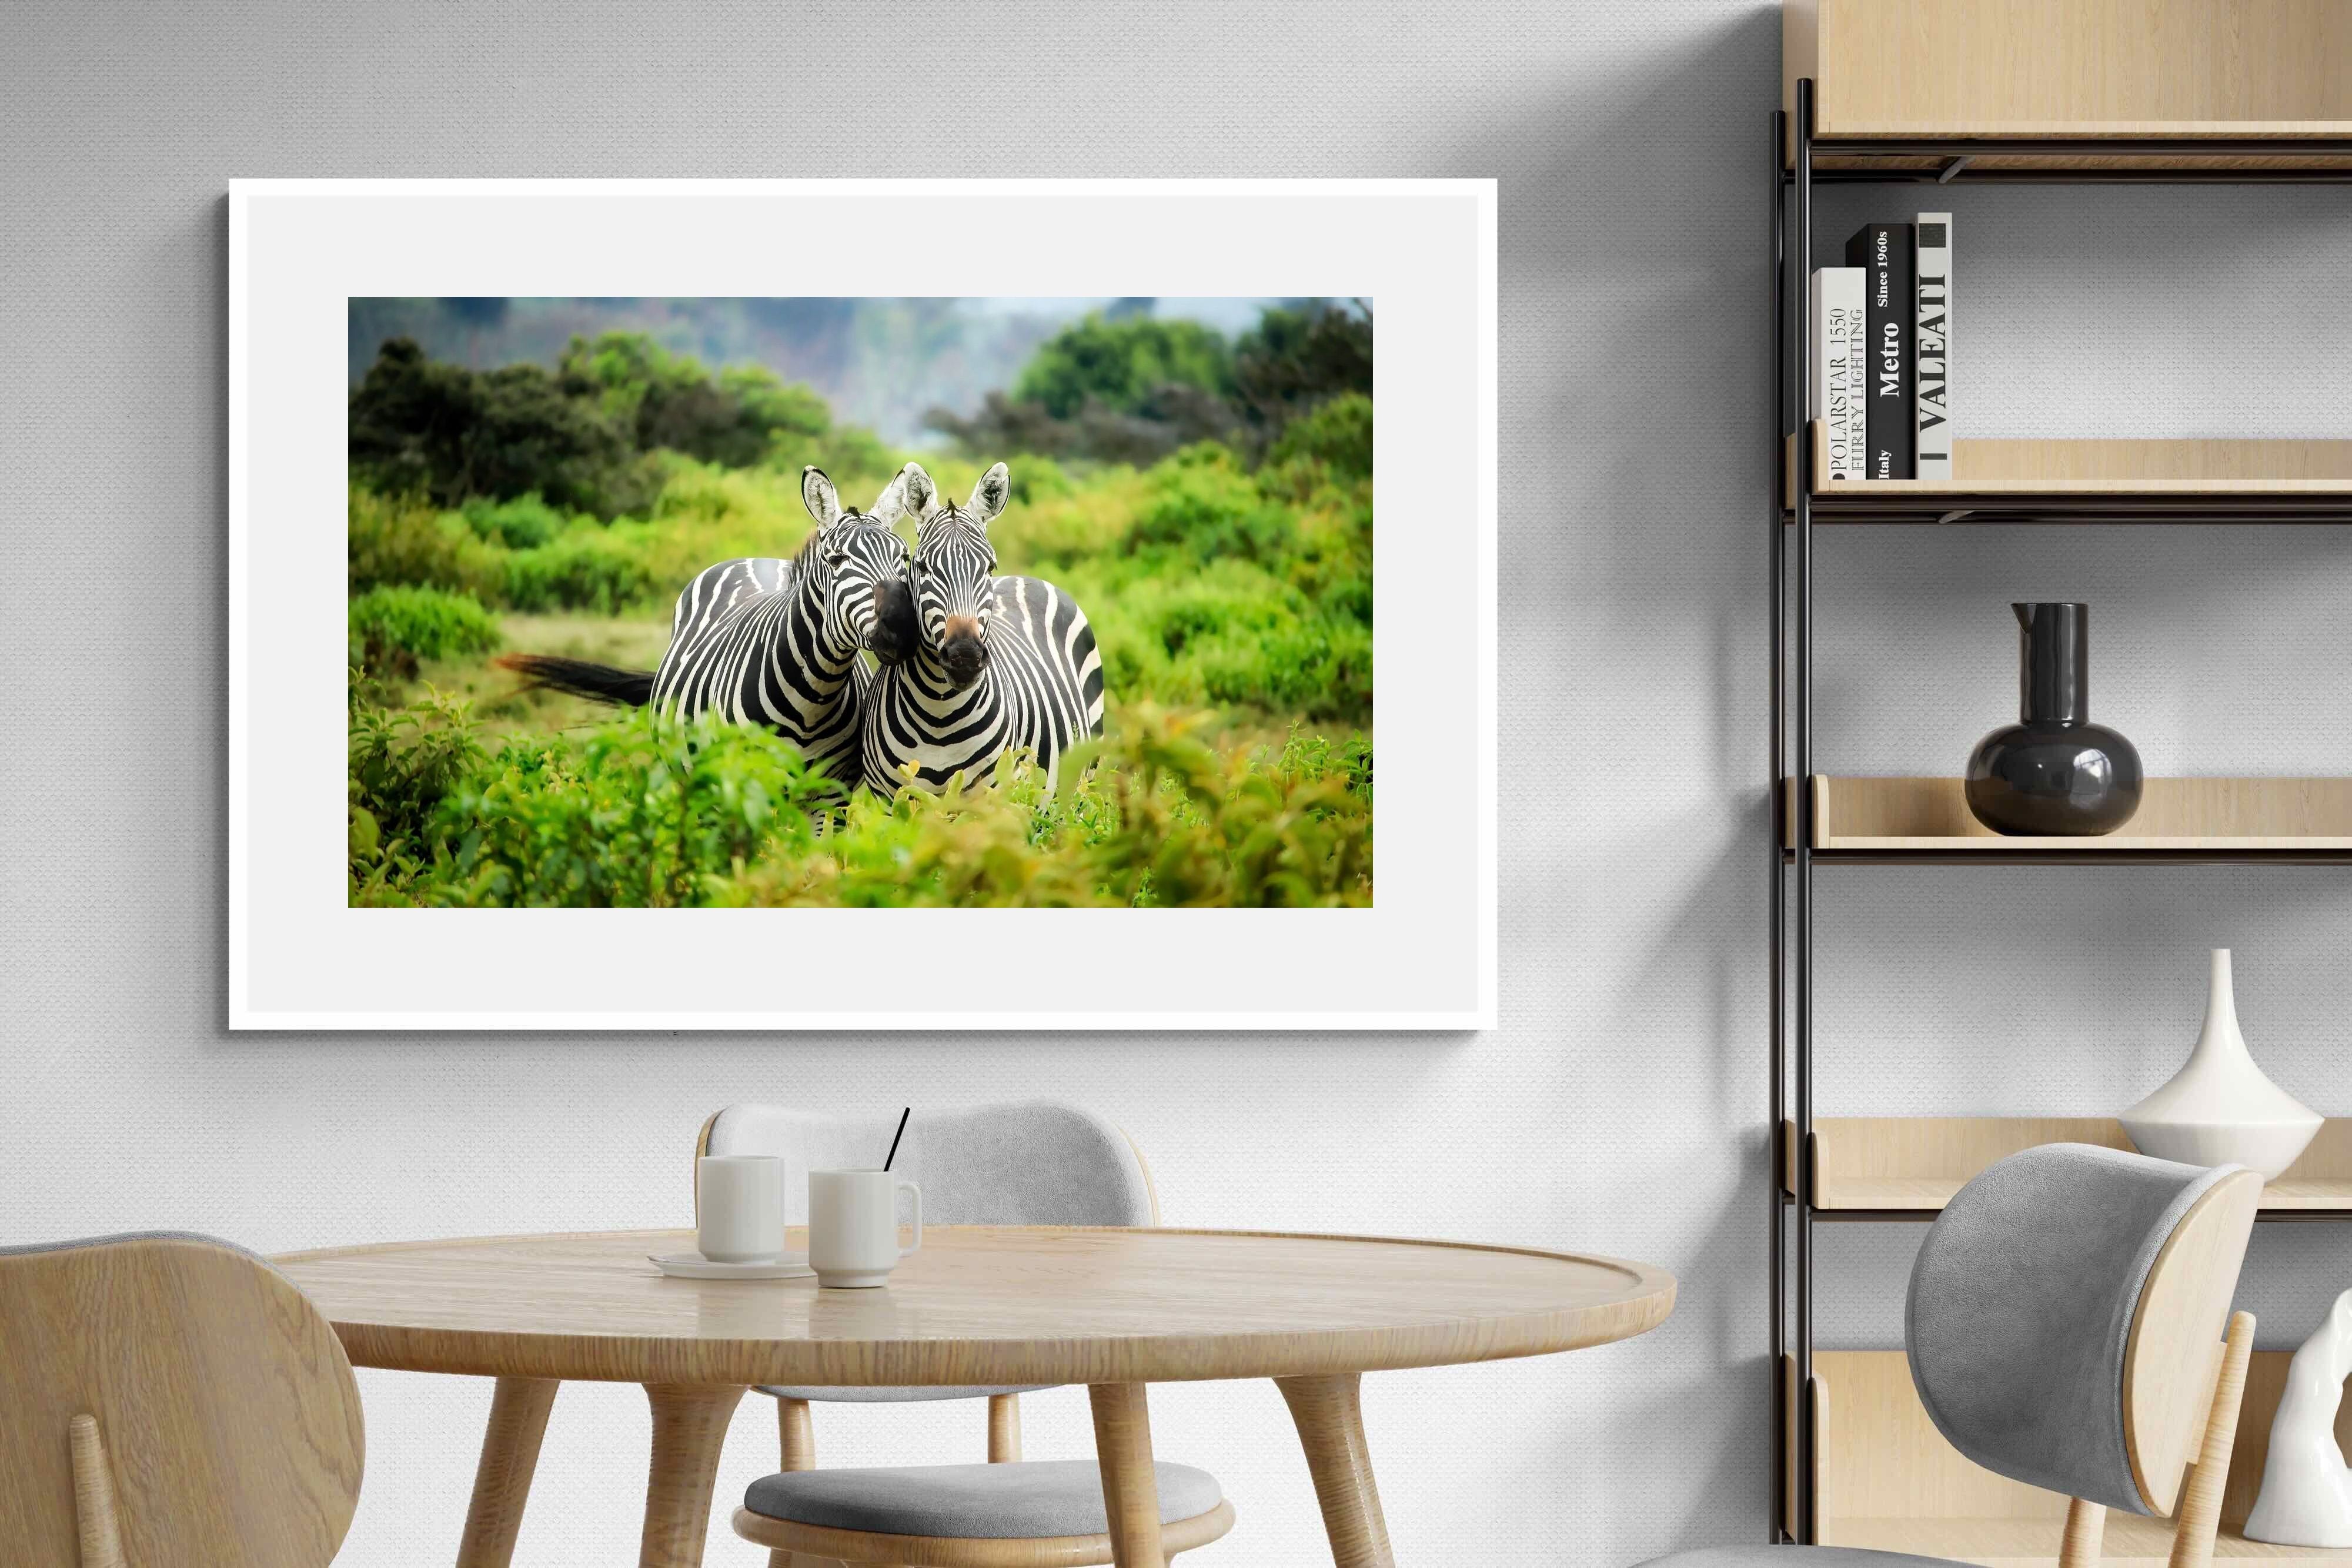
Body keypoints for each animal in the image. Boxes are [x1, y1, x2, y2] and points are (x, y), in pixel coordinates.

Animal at [497, 464, 920, 791]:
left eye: (903, 556)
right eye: (836, 560)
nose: (902, 627)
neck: (812, 699)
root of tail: (754, 559)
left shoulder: (830, 795)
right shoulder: (744, 783)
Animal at [860, 461, 1107, 797]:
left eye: (990, 567)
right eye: (922, 567)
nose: (965, 657)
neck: (939, 715)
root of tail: (1027, 578)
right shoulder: (893, 799)